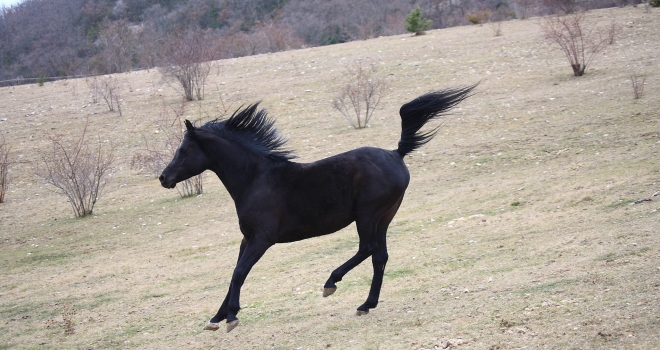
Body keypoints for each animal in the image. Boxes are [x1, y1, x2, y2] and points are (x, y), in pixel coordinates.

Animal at [162, 86, 476, 332]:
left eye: (183, 150)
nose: (164, 178)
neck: (256, 179)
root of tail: (396, 154)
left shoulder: (262, 239)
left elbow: (239, 272)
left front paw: (230, 318)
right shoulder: (247, 238)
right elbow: (233, 274)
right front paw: (216, 317)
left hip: (368, 215)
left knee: (367, 248)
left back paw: (331, 283)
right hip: (384, 217)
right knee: (380, 256)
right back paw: (366, 304)